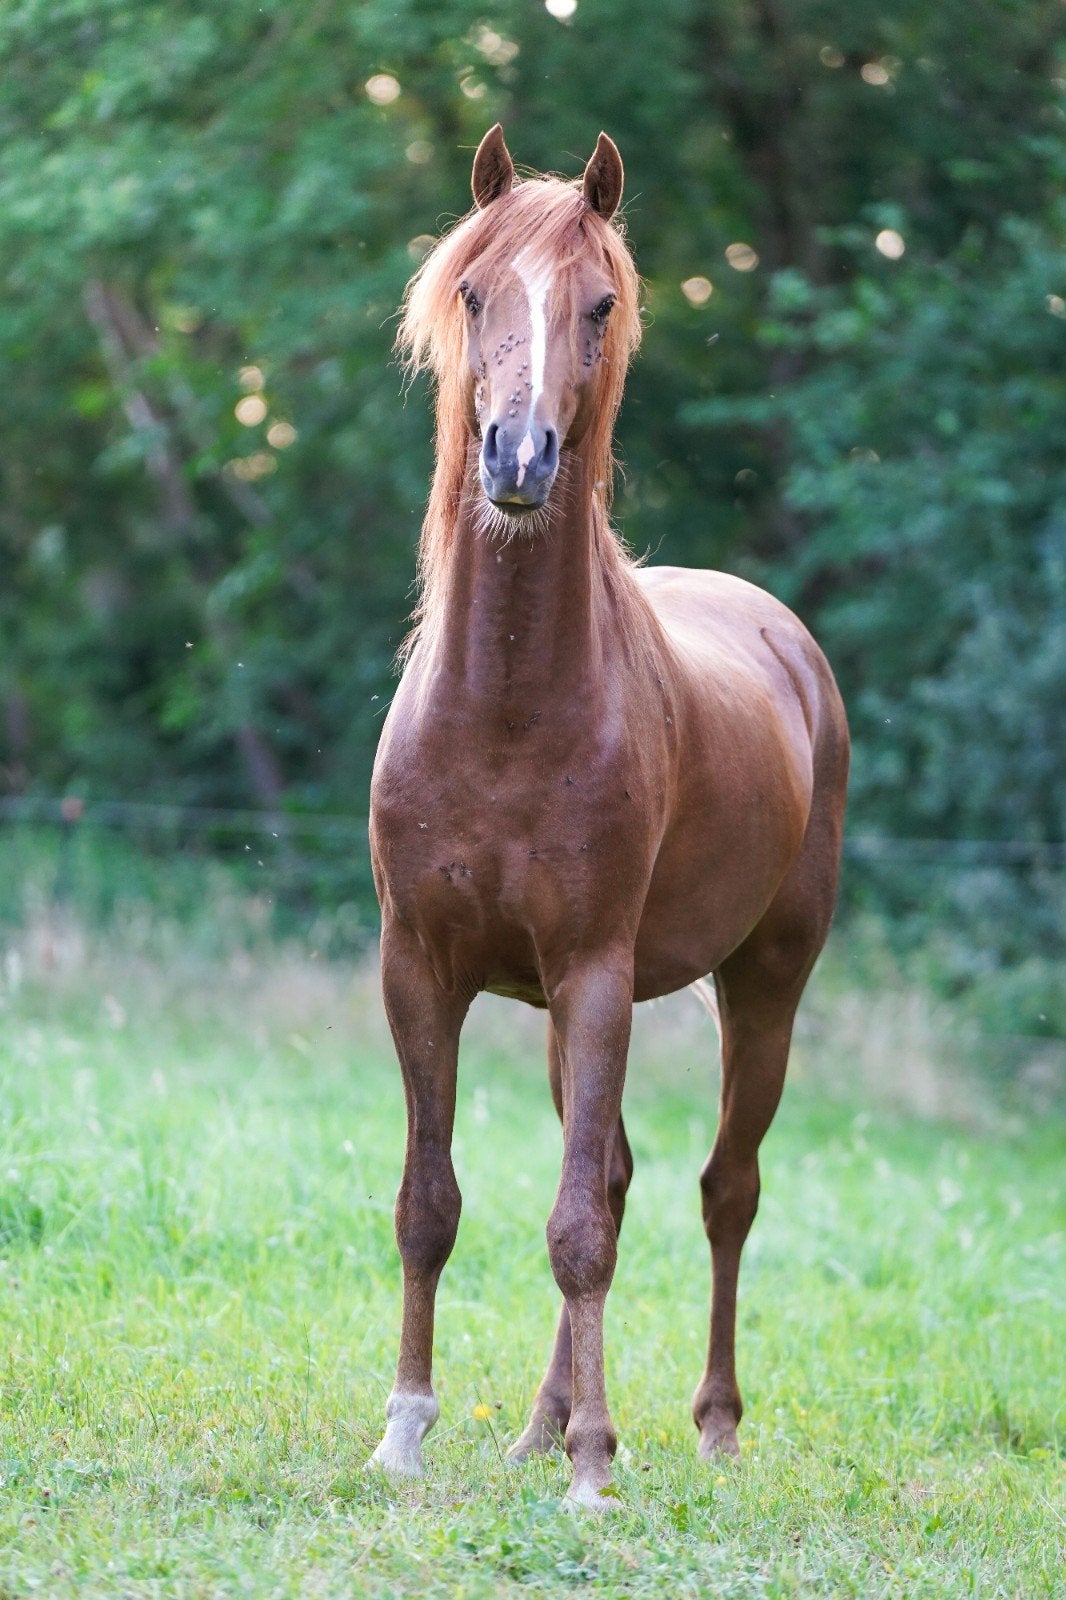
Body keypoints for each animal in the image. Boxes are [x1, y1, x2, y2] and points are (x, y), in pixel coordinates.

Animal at [368, 126, 849, 1509]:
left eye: (596, 305)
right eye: (475, 291)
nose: (518, 461)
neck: (506, 712)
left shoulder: (592, 972)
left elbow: (577, 1225)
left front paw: (592, 1470)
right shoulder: (419, 968)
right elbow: (433, 1201)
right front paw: (406, 1430)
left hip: (765, 983)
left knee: (724, 1190)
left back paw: (706, 1425)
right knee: (622, 1180)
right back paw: (540, 1424)